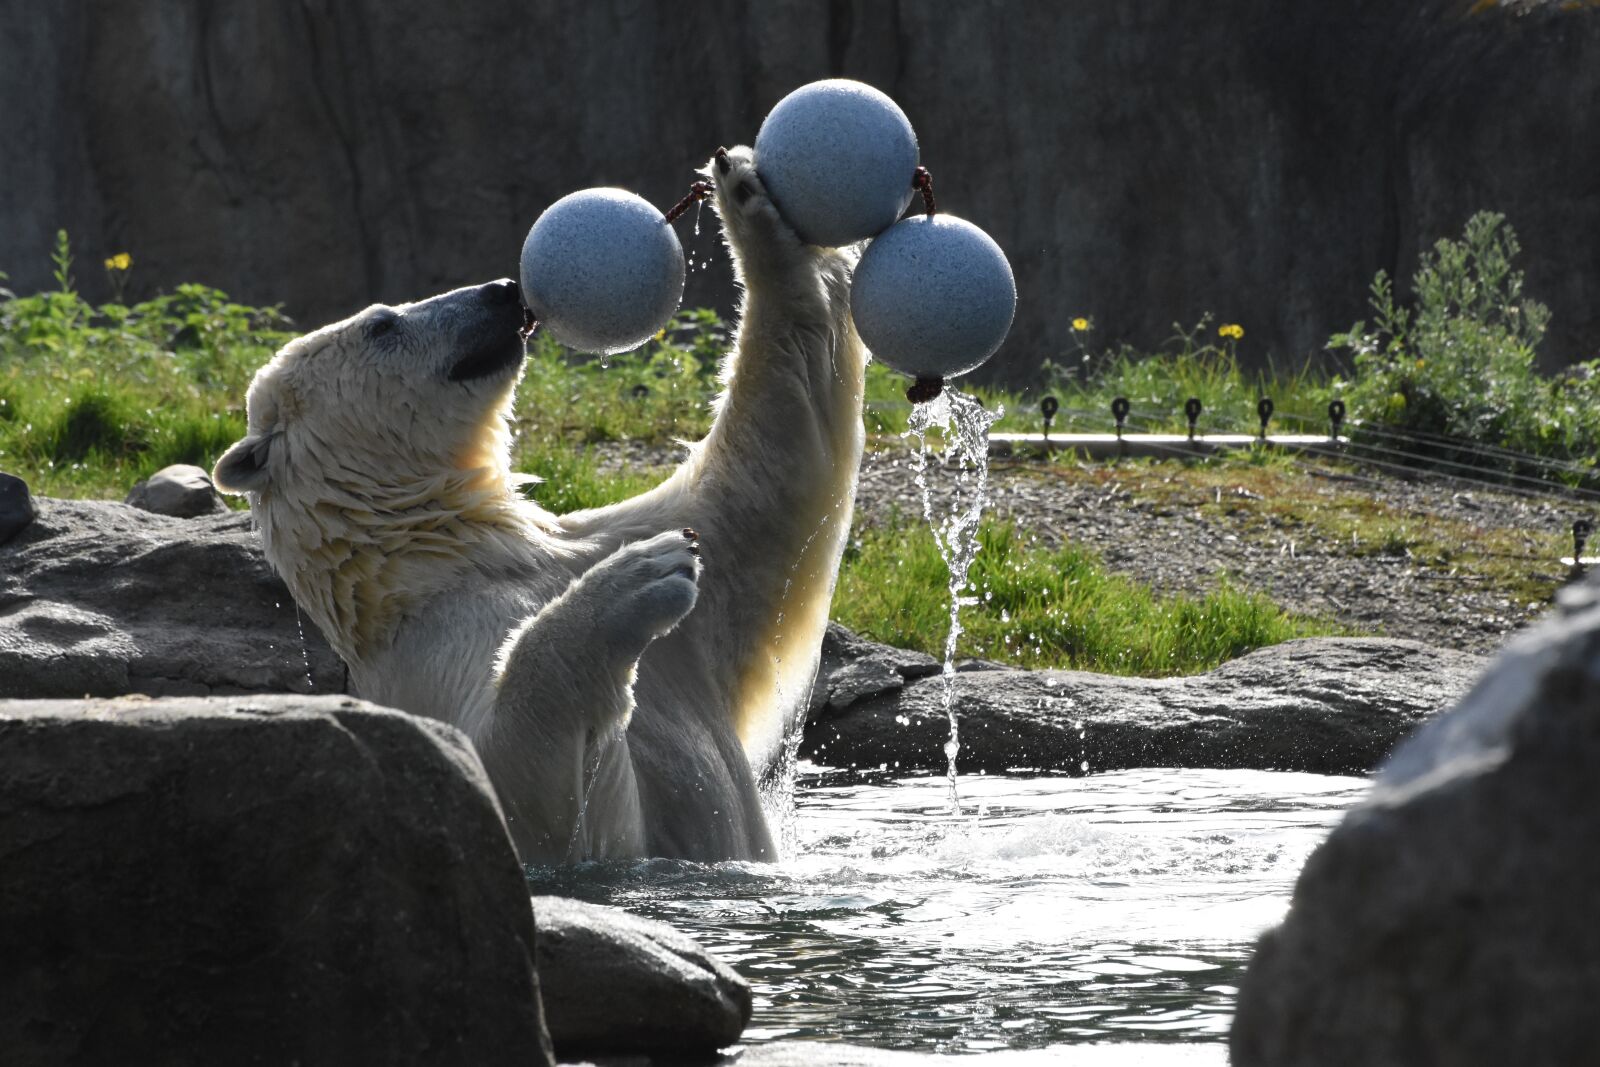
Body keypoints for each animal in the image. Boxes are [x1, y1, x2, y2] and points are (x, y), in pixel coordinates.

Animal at [212, 146, 867, 864]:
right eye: (381, 324)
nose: (502, 290)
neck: (439, 552)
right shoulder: (428, 664)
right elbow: (524, 796)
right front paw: (639, 578)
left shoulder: (622, 547)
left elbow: (771, 468)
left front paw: (749, 192)